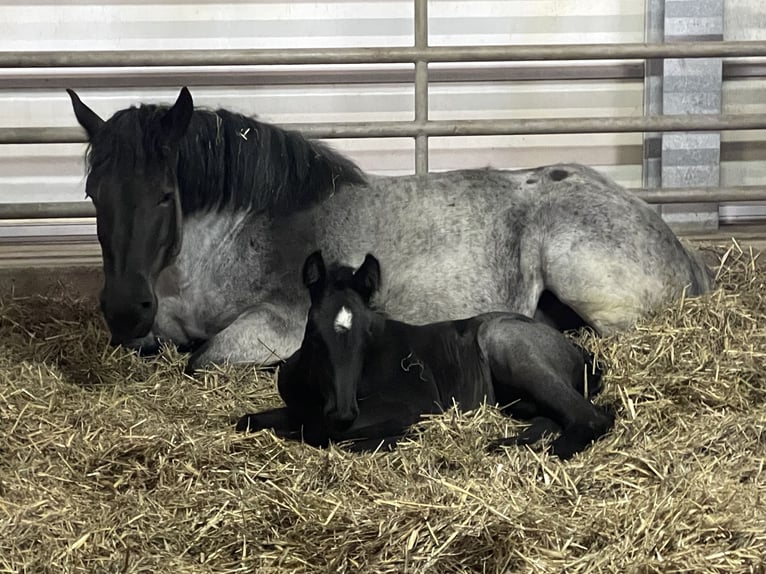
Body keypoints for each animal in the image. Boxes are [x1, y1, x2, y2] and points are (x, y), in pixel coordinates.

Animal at [237, 251, 616, 460]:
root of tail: (582, 354)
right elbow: (249, 421)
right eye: (314, 335)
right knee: (551, 418)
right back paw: (505, 443)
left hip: (509, 345)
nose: (343, 412)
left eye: (368, 334)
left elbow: (323, 433)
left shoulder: (410, 404)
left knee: (590, 417)